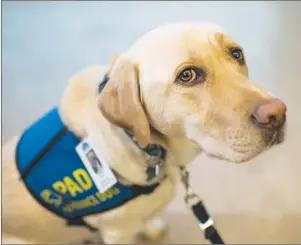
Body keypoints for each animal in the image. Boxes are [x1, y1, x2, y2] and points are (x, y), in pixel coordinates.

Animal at [2, 22, 286, 244]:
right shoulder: (117, 232)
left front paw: (150, 228)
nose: (278, 114)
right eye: (187, 75)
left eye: (236, 54)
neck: (151, 149)